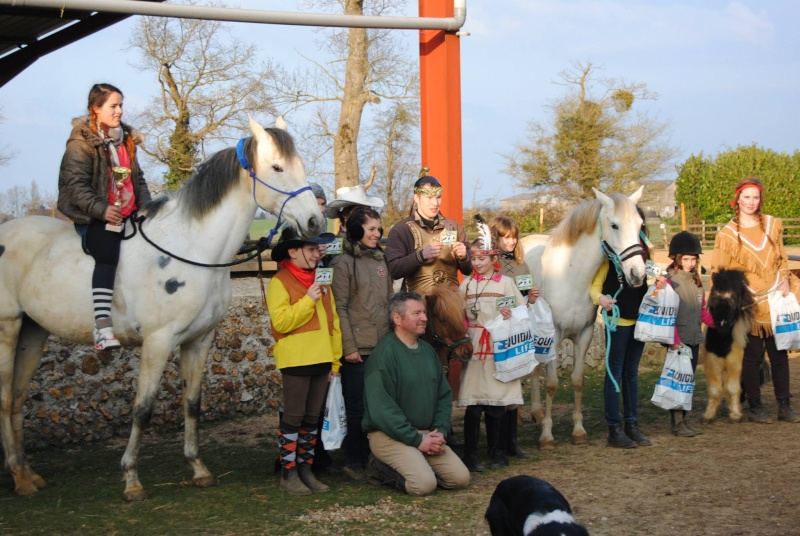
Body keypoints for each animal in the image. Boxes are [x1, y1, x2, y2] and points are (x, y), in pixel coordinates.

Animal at [2, 115, 324, 500]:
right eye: (277, 167)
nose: (316, 222)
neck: (192, 248)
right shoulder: (157, 342)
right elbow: (143, 408)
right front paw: (131, 479)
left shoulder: (199, 340)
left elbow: (192, 403)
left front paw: (198, 469)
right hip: (7, 330)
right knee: (4, 400)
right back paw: (18, 475)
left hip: (32, 332)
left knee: (17, 398)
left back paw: (27, 475)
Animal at [520, 188, 648, 448]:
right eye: (614, 225)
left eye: (640, 224)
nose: (637, 274)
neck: (569, 276)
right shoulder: (554, 337)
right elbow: (552, 383)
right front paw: (547, 436)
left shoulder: (585, 334)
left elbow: (578, 380)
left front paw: (578, 431)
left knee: (535, 369)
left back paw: (537, 412)